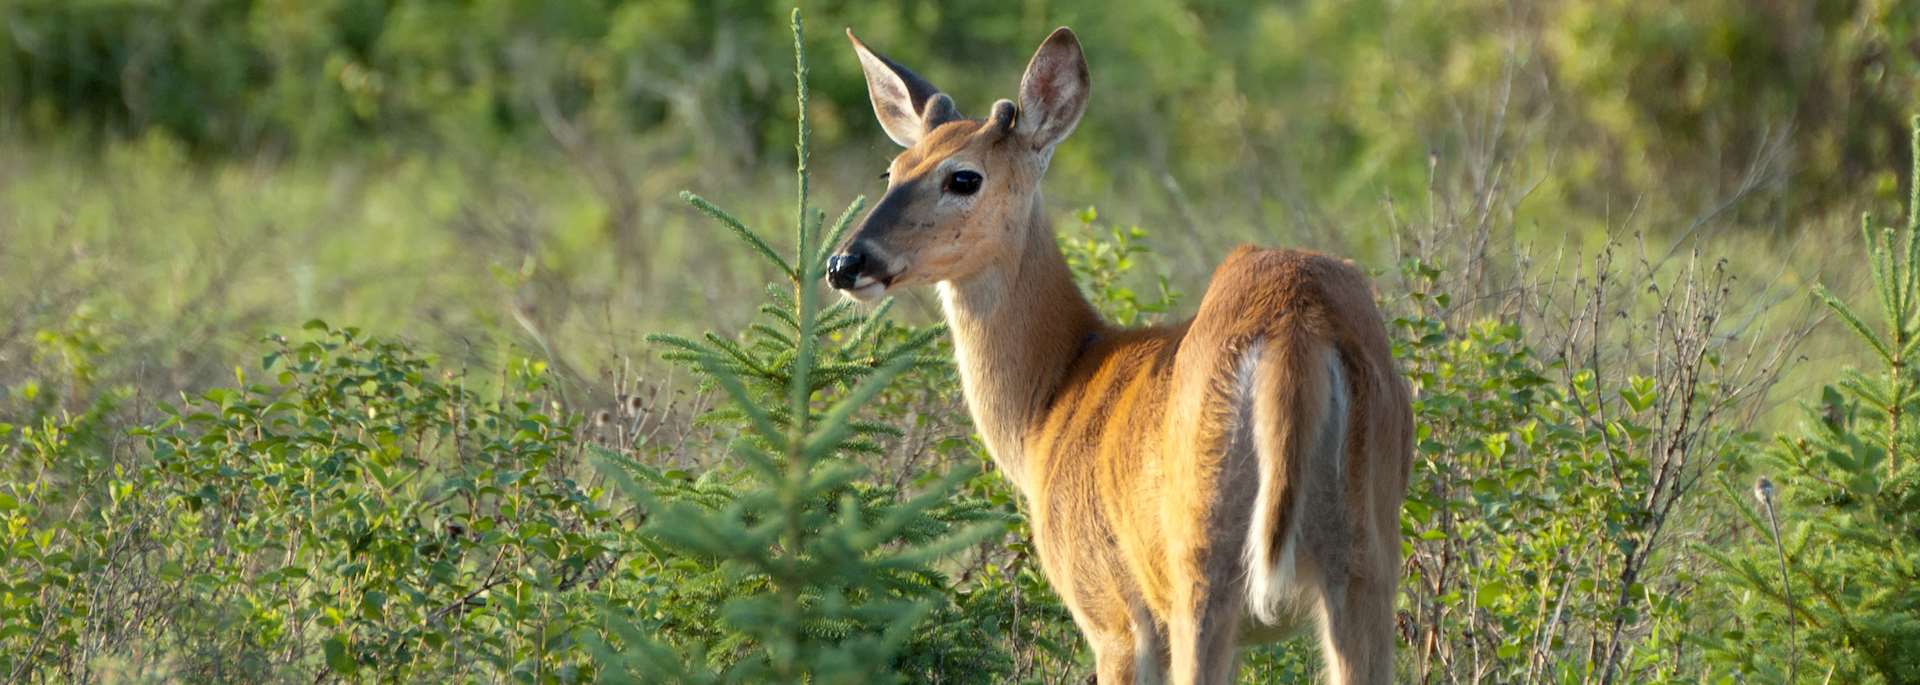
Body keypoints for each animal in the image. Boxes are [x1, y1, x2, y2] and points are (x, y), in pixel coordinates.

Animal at [826, 26, 1414, 685]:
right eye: (893, 168)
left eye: (964, 178)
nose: (847, 262)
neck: (1049, 402)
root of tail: (1297, 323)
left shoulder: (1108, 610)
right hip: (1367, 559)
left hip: (1200, 563)